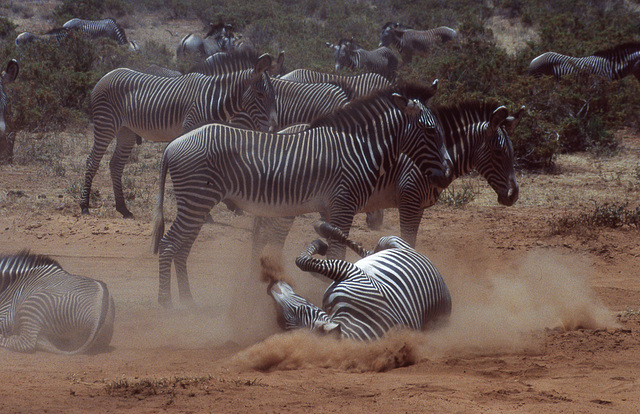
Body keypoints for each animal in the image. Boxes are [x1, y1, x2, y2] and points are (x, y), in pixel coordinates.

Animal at [79, 52, 276, 220]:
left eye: (273, 96)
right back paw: (84, 206)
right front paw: (206, 214)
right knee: (92, 161)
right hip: (106, 124)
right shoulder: (191, 129)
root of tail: (106, 75)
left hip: (125, 131)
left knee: (116, 165)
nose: (273, 129)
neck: (213, 99)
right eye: (260, 94)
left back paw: (123, 209)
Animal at [252, 100, 524, 252]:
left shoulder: (419, 206)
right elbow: (408, 242)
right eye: (499, 152)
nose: (513, 196)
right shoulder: (409, 200)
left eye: (513, 151)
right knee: (273, 240)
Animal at [264, 222, 450, 342]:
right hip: (388, 244)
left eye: (303, 308)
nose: (271, 287)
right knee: (369, 252)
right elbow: (305, 262)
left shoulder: (350, 272)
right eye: (282, 324)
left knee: (367, 250)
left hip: (390, 241)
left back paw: (324, 229)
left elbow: (302, 262)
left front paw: (319, 245)